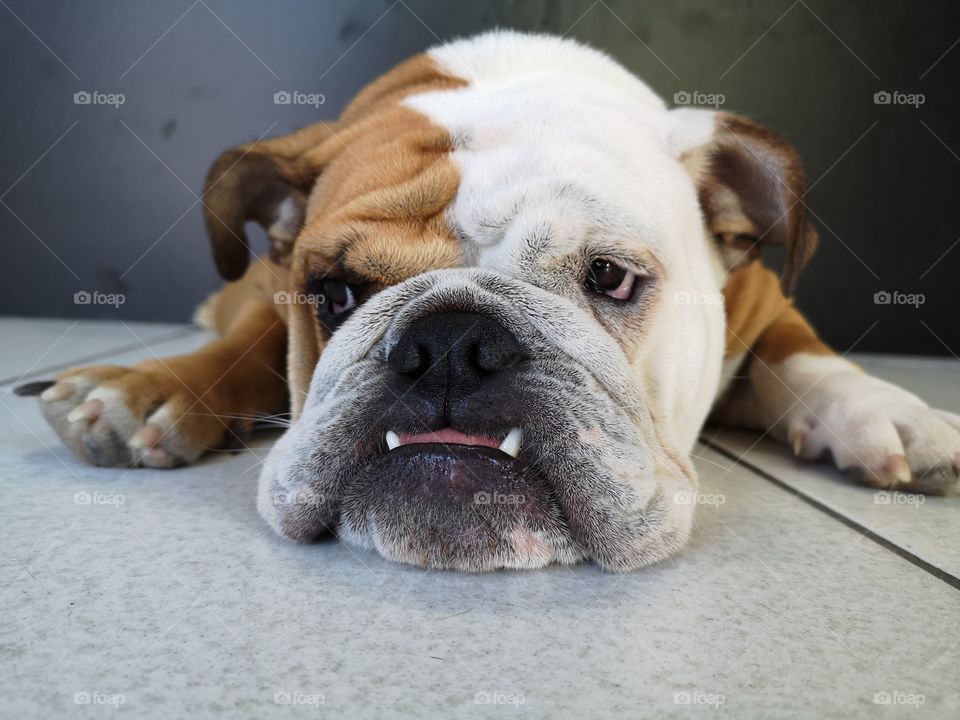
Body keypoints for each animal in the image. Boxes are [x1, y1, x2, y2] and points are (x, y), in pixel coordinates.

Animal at [16, 31, 960, 572]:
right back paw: (146, 392)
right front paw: (160, 388)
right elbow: (252, 342)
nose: (448, 342)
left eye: (610, 277)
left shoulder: (767, 297)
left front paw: (888, 412)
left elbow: (806, 353)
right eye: (333, 292)